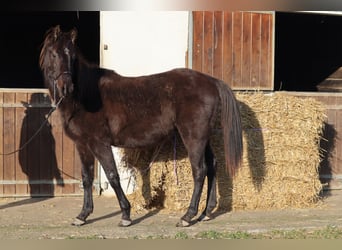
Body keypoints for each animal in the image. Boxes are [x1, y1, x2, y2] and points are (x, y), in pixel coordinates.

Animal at [39, 25, 243, 227]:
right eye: (54, 54)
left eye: (73, 56)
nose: (66, 87)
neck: (85, 96)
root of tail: (212, 82)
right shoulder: (82, 144)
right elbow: (86, 178)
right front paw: (82, 215)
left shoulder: (100, 143)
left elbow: (112, 175)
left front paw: (125, 215)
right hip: (203, 137)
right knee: (212, 165)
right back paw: (206, 212)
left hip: (194, 137)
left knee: (200, 171)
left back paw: (187, 216)